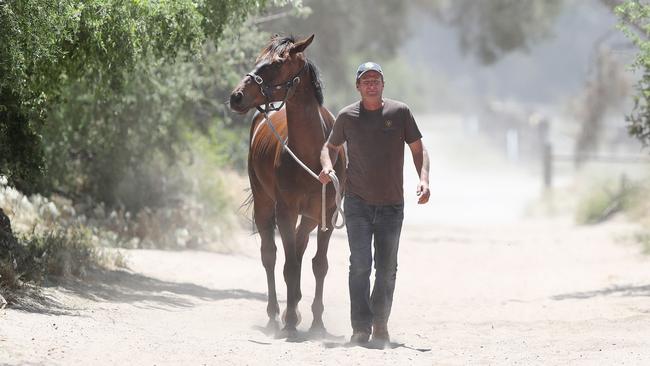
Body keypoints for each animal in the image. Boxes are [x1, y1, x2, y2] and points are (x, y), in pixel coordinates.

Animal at [230, 35, 346, 336]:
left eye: (276, 63)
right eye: (258, 59)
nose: (236, 96)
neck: (313, 156)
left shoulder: (327, 215)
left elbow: (319, 265)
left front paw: (317, 322)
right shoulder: (285, 211)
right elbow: (289, 265)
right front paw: (291, 318)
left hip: (308, 217)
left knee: (300, 249)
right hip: (263, 204)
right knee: (270, 255)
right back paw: (276, 314)